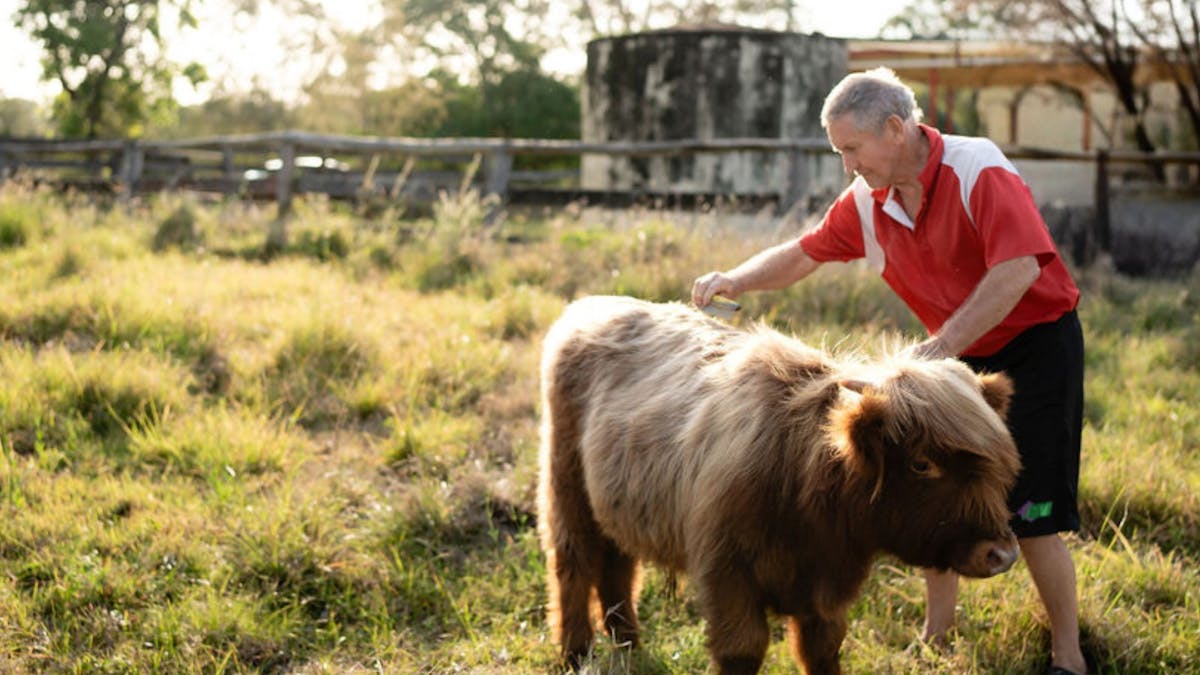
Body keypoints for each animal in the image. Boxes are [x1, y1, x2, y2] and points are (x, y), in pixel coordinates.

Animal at [536, 295, 1021, 675]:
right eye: (923, 464)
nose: (1000, 553)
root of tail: (592, 305)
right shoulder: (727, 574)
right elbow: (743, 650)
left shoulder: (827, 589)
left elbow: (822, 650)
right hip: (565, 486)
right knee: (574, 562)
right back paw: (576, 653)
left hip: (618, 501)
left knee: (617, 565)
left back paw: (629, 646)